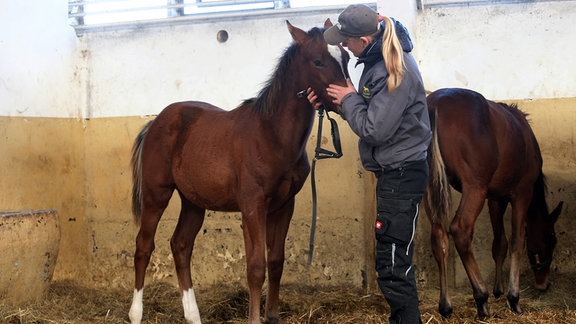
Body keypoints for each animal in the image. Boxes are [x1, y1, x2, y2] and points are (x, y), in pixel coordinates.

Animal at [128, 20, 348, 324]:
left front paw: (272, 316)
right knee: (143, 246)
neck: (271, 134)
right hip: (155, 195)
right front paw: (255, 318)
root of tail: (155, 123)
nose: (346, 100)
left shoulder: (284, 205)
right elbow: (256, 266)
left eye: (346, 57)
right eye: (318, 61)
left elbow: (276, 261)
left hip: (193, 202)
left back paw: (193, 315)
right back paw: (136, 313)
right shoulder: (253, 206)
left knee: (180, 245)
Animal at [424, 88, 564, 318]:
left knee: (439, 237)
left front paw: (499, 290)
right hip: (474, 189)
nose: (543, 284)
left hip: (430, 188)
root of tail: (436, 103)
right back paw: (481, 297)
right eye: (551, 239)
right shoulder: (521, 194)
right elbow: (517, 240)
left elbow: (500, 244)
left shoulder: (495, 199)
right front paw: (513, 297)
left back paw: (446, 305)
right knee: (460, 231)